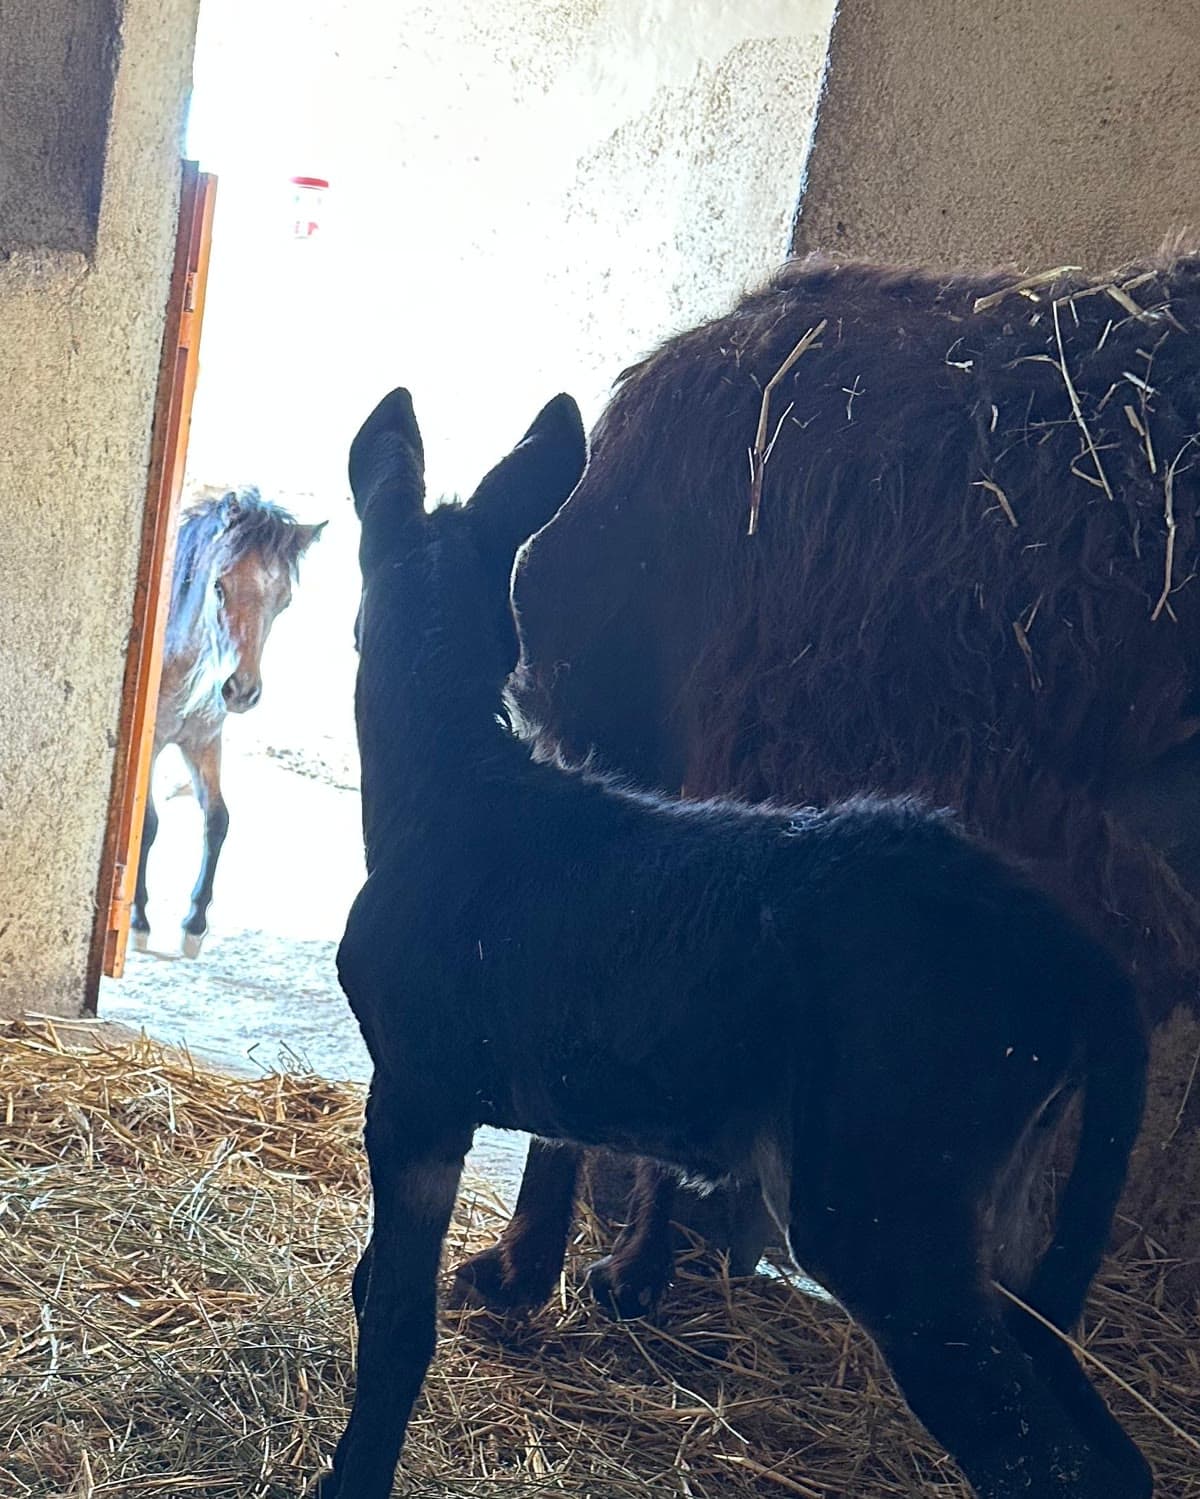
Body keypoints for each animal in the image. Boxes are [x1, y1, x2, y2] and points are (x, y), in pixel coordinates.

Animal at [130, 487, 324, 957]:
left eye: (284, 601)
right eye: (219, 585)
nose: (241, 691)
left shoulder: (204, 741)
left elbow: (218, 820)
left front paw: (194, 924)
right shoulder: (153, 745)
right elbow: (148, 825)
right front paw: (139, 920)